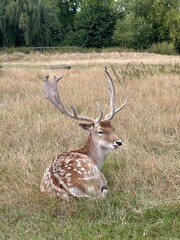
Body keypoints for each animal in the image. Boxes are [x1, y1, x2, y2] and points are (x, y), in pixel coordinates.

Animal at [40, 68, 128, 199]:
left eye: (113, 128)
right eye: (100, 131)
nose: (118, 142)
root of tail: (68, 190)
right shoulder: (101, 175)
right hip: (93, 177)